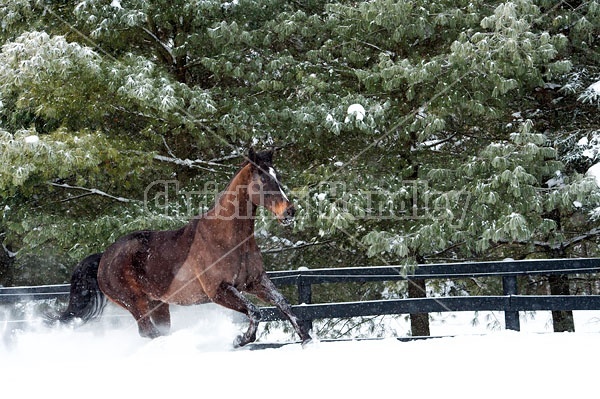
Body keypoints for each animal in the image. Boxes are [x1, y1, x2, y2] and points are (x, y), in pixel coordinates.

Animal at [52, 148, 310, 348]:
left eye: (278, 176)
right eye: (263, 179)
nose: (290, 212)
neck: (229, 240)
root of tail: (104, 257)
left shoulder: (255, 282)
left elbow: (284, 305)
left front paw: (306, 339)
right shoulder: (219, 291)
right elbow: (255, 311)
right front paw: (240, 340)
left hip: (158, 304)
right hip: (134, 302)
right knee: (147, 332)